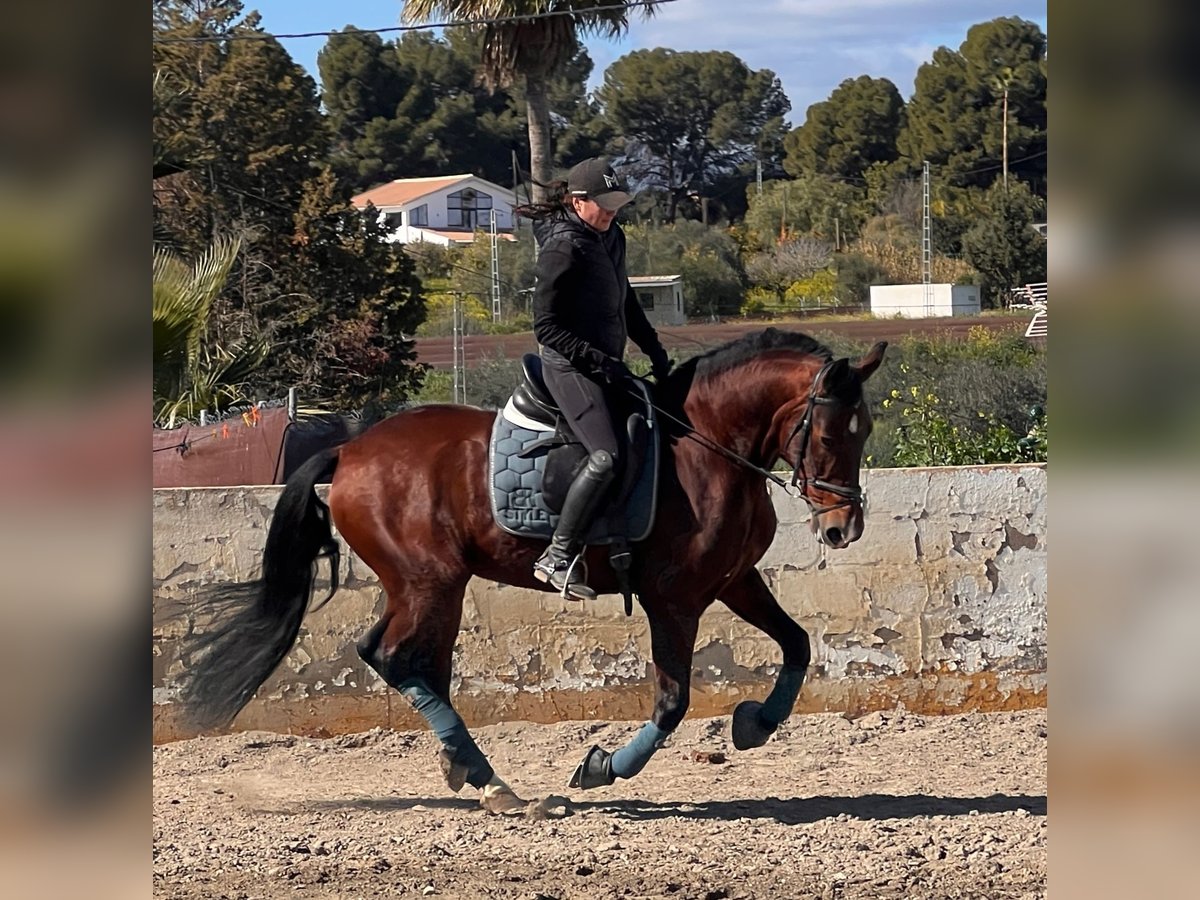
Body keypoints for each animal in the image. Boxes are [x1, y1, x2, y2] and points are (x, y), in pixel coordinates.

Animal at [180, 328, 892, 816]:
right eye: (829, 436)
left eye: (864, 432)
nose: (843, 530)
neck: (708, 447)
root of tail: (350, 449)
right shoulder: (675, 599)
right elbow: (672, 701)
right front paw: (601, 767)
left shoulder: (735, 581)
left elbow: (797, 645)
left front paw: (754, 724)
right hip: (428, 580)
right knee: (394, 656)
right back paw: (490, 780)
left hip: (429, 586)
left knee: (410, 660)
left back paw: (465, 767)